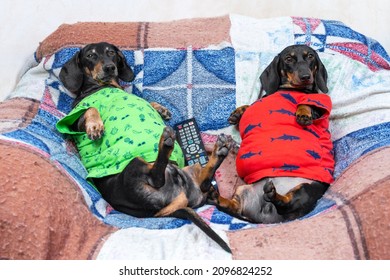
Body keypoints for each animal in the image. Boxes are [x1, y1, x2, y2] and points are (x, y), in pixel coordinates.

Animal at [56, 42, 230, 254]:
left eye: (111, 53)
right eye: (90, 55)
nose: (109, 68)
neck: (104, 86)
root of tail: (158, 212)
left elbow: (148, 102)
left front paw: (160, 108)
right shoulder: (74, 121)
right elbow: (91, 108)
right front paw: (95, 126)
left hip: (191, 169)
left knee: (202, 182)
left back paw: (217, 152)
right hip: (136, 164)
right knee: (156, 177)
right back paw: (167, 142)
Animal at [209, 44, 334, 224]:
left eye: (310, 56)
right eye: (288, 59)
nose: (306, 77)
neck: (291, 89)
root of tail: (265, 215)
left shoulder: (319, 108)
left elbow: (306, 103)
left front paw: (302, 113)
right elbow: (250, 106)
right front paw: (238, 112)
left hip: (306, 189)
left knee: (286, 204)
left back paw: (274, 195)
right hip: (242, 190)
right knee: (235, 207)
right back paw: (218, 197)